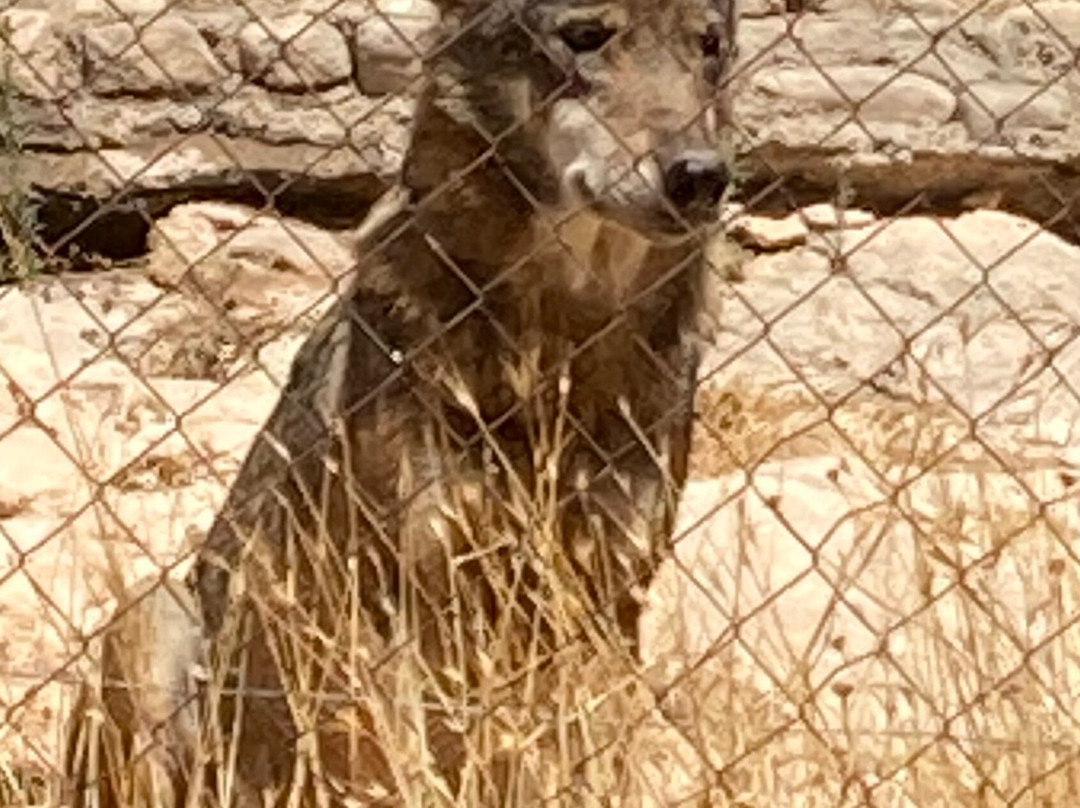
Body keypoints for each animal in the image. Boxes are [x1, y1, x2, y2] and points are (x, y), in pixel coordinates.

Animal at [68, 0, 738, 805]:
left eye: (709, 46)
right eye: (586, 36)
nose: (702, 176)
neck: (556, 348)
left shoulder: (608, 600)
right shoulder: (393, 604)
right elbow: (410, 770)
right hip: (150, 617)